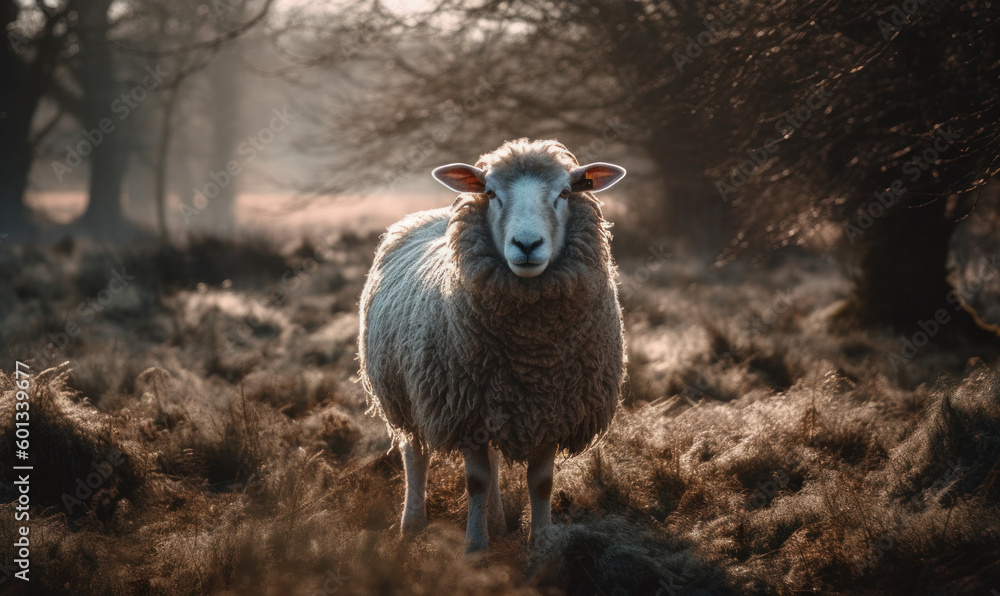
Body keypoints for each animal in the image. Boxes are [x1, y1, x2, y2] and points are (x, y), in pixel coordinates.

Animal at [358, 138, 627, 553]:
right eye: (491, 193)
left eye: (565, 193)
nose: (527, 244)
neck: (532, 354)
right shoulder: (462, 409)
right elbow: (476, 482)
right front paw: (474, 548)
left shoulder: (550, 411)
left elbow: (541, 483)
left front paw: (542, 545)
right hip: (403, 395)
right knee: (414, 454)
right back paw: (412, 524)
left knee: (494, 460)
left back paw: (498, 523)